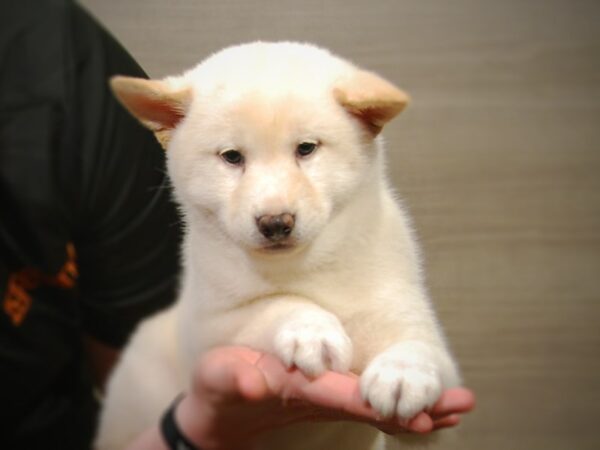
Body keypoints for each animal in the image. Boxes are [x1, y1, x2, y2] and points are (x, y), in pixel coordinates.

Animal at [95, 40, 460, 448]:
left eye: (306, 149)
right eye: (232, 157)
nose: (275, 222)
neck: (308, 266)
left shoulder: (406, 324)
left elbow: (424, 349)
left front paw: (405, 371)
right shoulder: (210, 328)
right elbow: (275, 304)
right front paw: (310, 331)